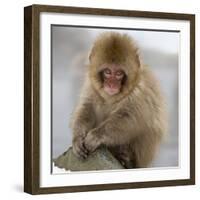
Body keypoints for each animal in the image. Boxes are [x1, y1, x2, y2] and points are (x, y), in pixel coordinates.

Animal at [70, 32, 167, 168]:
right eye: (107, 71)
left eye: (119, 73)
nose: (112, 84)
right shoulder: (91, 87)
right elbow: (87, 108)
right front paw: (77, 138)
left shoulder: (140, 92)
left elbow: (129, 118)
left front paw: (96, 135)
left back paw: (126, 158)